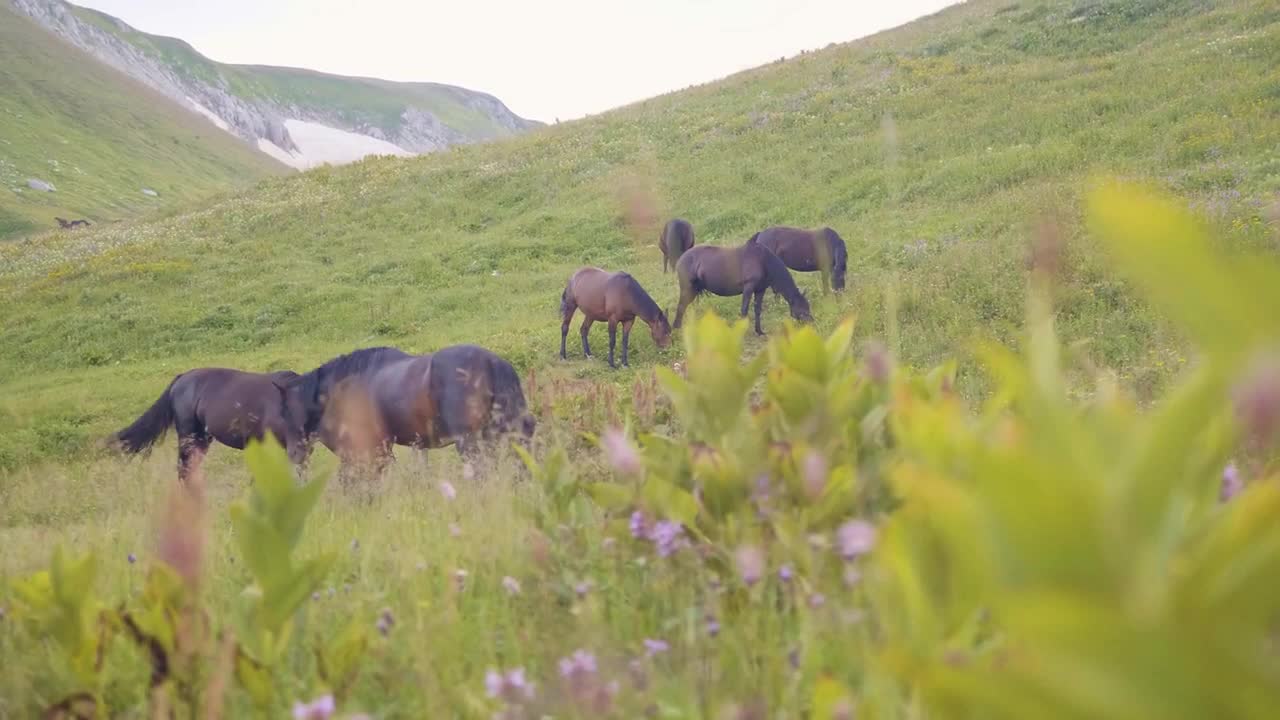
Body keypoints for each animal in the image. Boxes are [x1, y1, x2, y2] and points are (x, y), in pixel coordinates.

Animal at [670, 238, 808, 333]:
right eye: (803, 309)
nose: (810, 323)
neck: (763, 260)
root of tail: (681, 259)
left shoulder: (760, 290)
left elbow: (757, 309)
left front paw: (759, 331)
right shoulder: (748, 288)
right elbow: (744, 310)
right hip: (687, 289)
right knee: (681, 307)